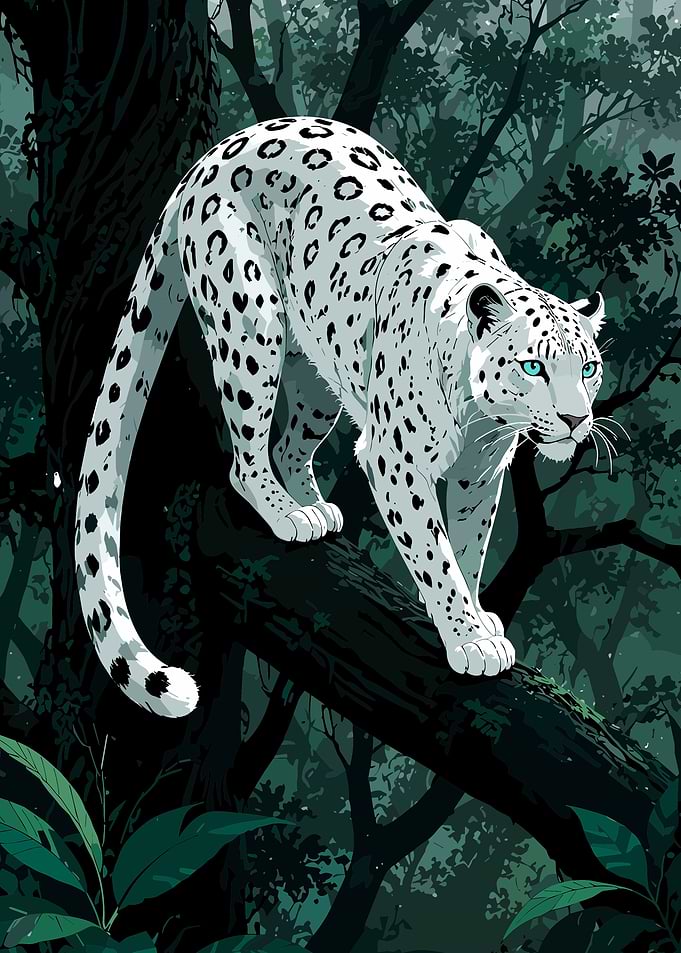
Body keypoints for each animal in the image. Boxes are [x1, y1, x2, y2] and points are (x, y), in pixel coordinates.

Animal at [75, 117, 606, 717]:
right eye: (533, 365)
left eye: (588, 368)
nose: (573, 420)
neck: (481, 418)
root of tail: (216, 151)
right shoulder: (397, 462)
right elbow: (436, 554)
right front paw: (469, 638)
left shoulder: (482, 473)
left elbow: (470, 548)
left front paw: (477, 617)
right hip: (251, 323)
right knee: (246, 456)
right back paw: (289, 514)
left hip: (318, 379)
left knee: (289, 446)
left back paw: (315, 508)